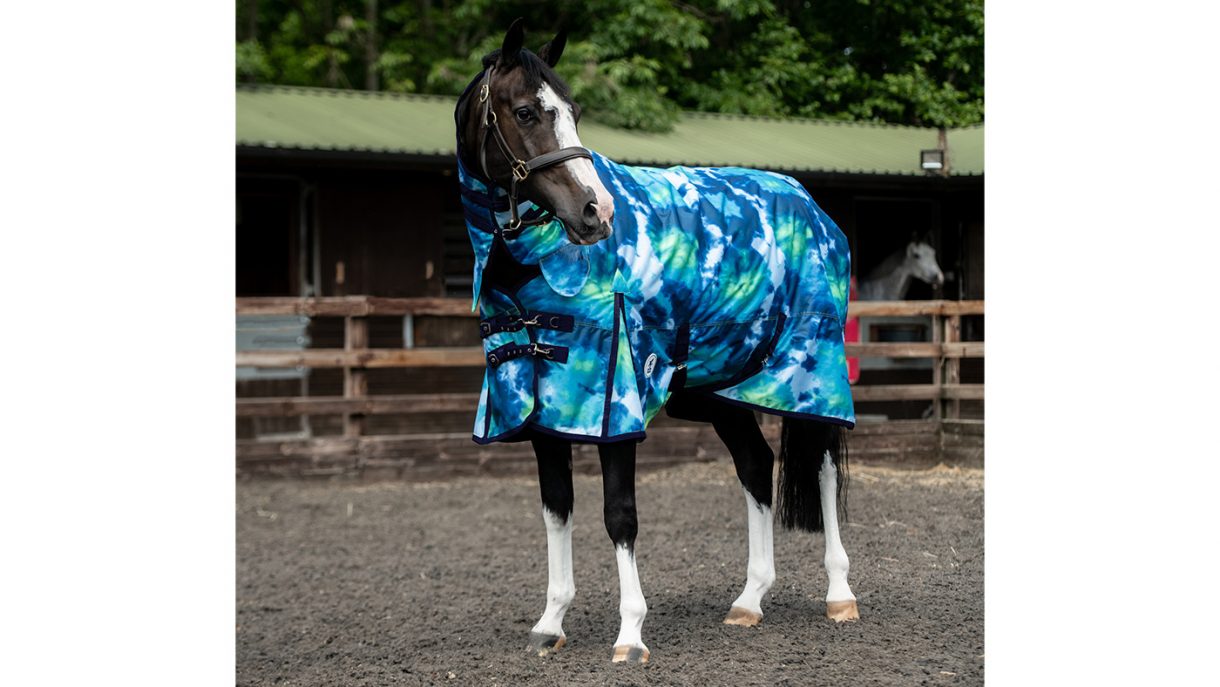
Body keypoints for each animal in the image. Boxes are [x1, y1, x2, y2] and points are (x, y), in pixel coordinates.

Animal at [453, 19, 858, 664]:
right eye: (525, 111)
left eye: (573, 111)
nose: (595, 212)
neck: (533, 265)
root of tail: (816, 212)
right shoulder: (544, 410)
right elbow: (556, 510)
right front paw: (551, 622)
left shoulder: (613, 403)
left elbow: (619, 515)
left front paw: (630, 635)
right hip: (722, 396)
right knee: (756, 467)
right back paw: (749, 601)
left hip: (810, 374)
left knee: (820, 468)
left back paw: (840, 595)